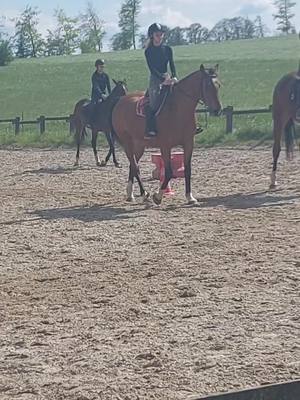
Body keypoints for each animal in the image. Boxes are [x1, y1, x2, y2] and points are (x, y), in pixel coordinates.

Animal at [111, 65, 221, 205]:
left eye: (218, 85)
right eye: (207, 85)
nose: (217, 110)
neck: (178, 109)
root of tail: (120, 102)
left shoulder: (189, 143)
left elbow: (187, 170)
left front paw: (190, 197)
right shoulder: (165, 146)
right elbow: (168, 172)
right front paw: (158, 197)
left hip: (139, 145)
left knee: (133, 165)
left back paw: (131, 194)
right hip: (127, 143)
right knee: (135, 166)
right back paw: (144, 193)